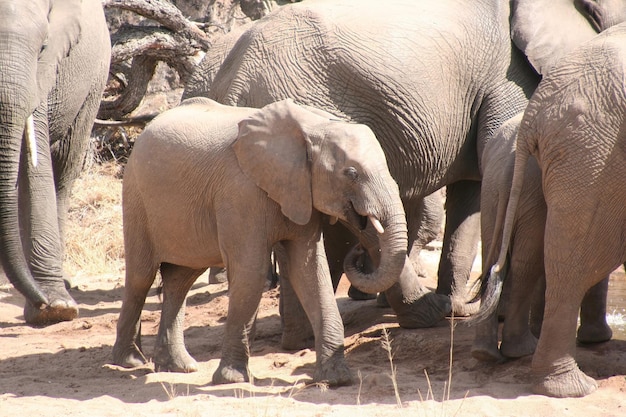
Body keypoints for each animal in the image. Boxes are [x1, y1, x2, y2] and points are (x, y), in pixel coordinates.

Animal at [0, 0, 111, 324]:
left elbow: (35, 167)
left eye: (42, 48)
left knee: (63, 170)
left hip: (94, 84)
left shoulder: (42, 76)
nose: (42, 302)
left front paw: (56, 310)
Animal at [111, 96, 408, 386]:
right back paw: (129, 362)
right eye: (351, 173)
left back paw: (178, 367)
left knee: (180, 279)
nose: (357, 248)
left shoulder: (300, 191)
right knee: (141, 277)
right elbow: (251, 271)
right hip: (136, 196)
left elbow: (310, 271)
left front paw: (336, 379)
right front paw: (232, 380)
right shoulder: (241, 193)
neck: (314, 126)